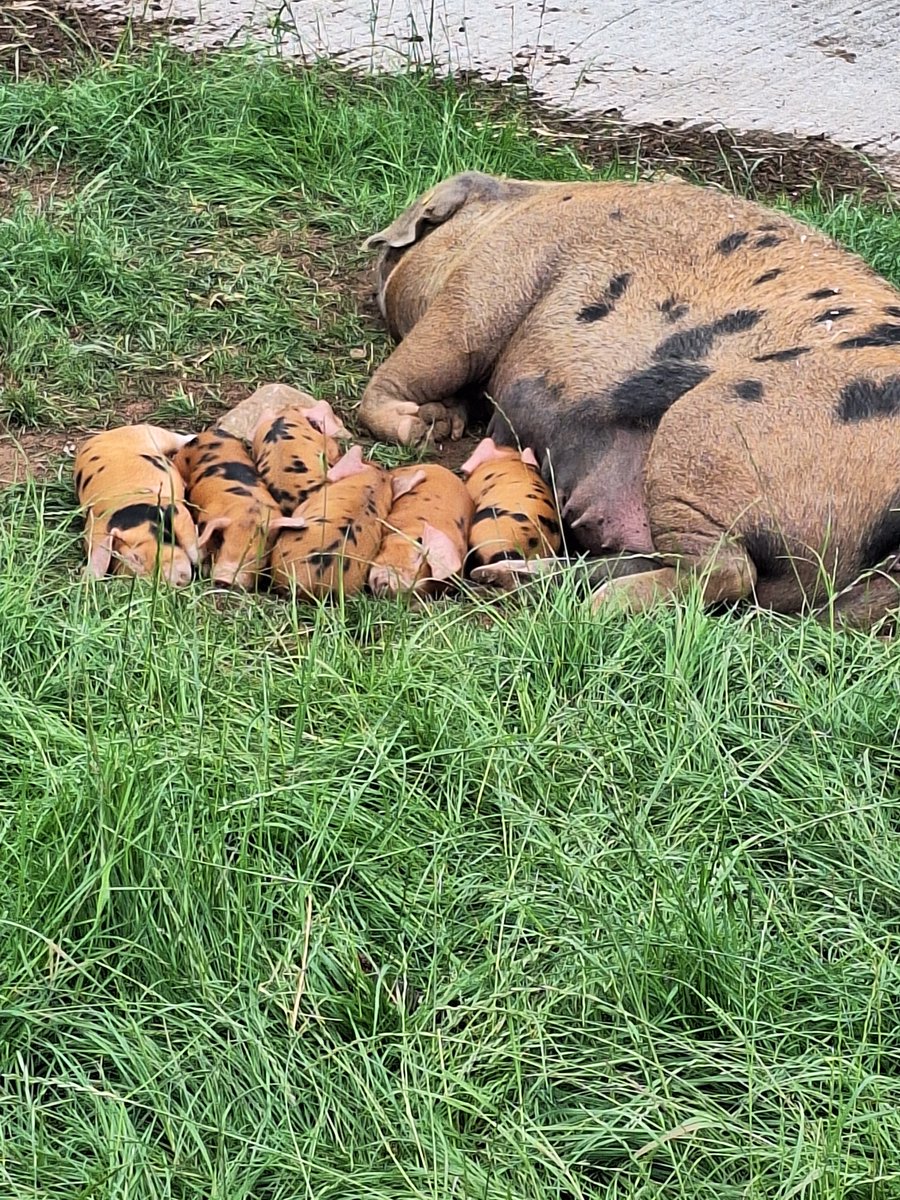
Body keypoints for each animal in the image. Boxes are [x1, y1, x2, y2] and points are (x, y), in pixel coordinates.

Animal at [74, 424, 199, 586]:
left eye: (136, 557)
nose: (177, 580)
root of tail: (101, 435)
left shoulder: (175, 509)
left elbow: (189, 540)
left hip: (146, 431)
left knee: (176, 438)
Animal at [173, 427, 306, 589]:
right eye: (222, 543)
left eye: (255, 558)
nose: (224, 580)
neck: (246, 509)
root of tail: (215, 431)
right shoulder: (206, 516)